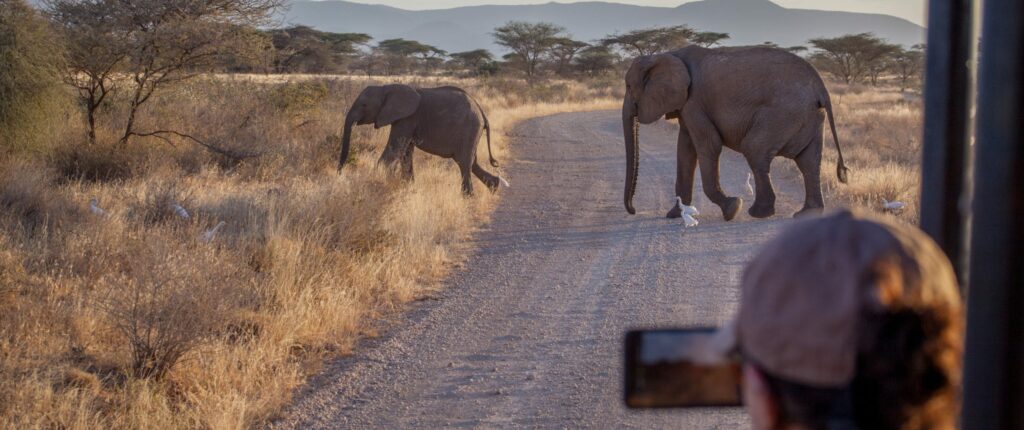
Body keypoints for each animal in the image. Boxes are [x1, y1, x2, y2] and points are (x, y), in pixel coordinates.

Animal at [339, 83, 503, 194]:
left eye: (364, 105)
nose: (339, 174)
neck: (387, 88)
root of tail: (481, 111)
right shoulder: (406, 120)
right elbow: (406, 152)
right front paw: (408, 187)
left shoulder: (407, 118)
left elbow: (395, 149)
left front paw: (378, 181)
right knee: (469, 161)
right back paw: (495, 187)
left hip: (469, 128)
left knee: (464, 162)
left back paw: (467, 197)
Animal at [622, 45, 847, 220]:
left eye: (629, 86)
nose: (633, 210)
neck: (667, 54)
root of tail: (821, 87)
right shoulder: (687, 104)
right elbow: (685, 151)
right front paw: (674, 215)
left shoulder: (694, 102)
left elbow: (708, 146)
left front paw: (732, 208)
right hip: (810, 116)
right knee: (808, 161)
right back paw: (806, 214)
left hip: (784, 113)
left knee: (755, 149)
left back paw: (758, 212)